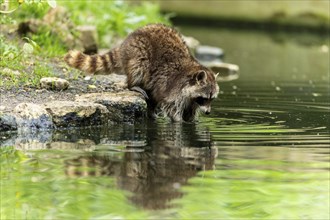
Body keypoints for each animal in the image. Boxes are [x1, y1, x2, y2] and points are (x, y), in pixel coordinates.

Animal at [64, 24, 219, 122]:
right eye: (204, 98)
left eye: (212, 99)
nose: (208, 112)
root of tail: (125, 43)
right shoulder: (174, 89)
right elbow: (172, 108)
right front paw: (179, 122)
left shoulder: (190, 99)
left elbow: (190, 112)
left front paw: (191, 121)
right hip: (138, 51)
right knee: (138, 67)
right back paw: (133, 84)